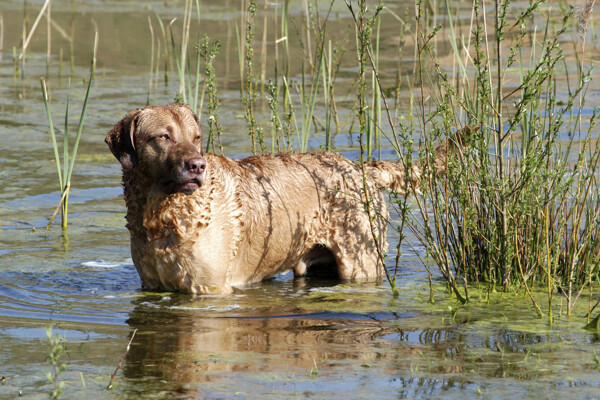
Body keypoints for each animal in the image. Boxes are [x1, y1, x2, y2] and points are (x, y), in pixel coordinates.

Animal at [105, 104, 466, 294]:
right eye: (163, 137)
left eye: (195, 138)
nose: (197, 165)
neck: (160, 215)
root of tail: (361, 167)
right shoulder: (152, 285)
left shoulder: (210, 289)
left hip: (361, 263)